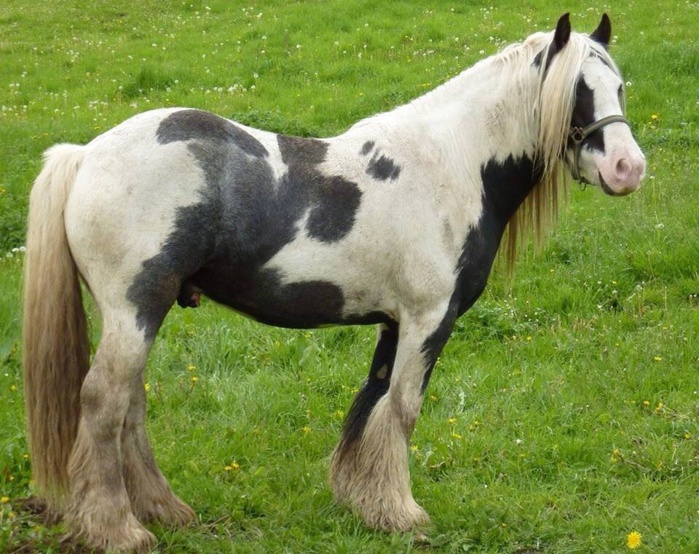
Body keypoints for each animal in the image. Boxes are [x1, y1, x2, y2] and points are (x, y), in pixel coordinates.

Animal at [22, 13, 645, 552]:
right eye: (576, 92)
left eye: (619, 87)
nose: (628, 169)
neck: (452, 164)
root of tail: (86, 155)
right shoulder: (428, 319)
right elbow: (402, 409)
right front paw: (403, 514)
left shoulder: (394, 323)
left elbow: (371, 404)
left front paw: (365, 504)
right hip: (136, 309)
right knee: (104, 403)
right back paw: (119, 530)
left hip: (136, 316)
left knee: (130, 405)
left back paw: (164, 510)